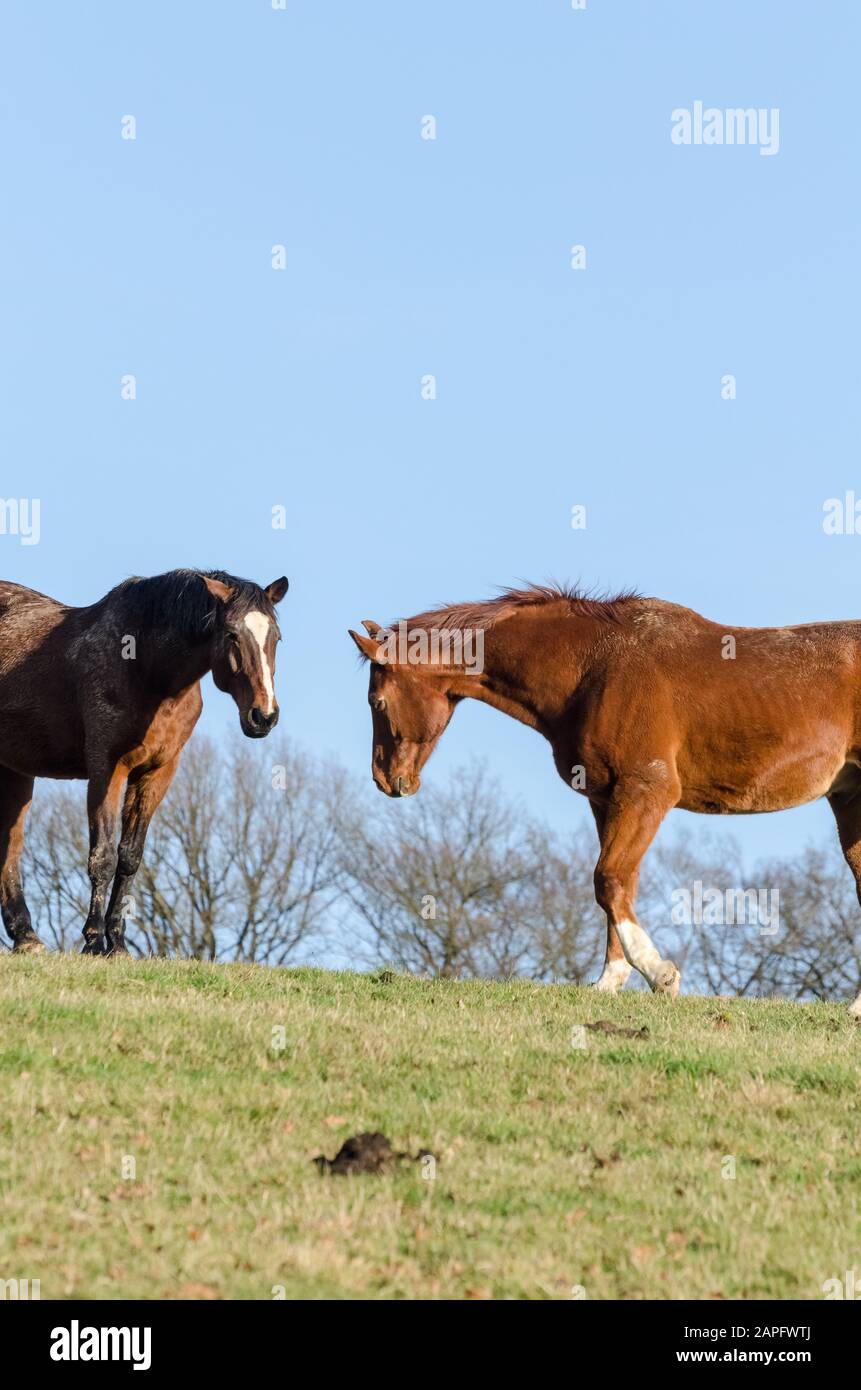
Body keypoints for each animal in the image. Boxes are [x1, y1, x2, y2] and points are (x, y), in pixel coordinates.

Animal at [0, 568, 288, 956]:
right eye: (231, 634)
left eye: (276, 637)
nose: (264, 716)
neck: (144, 668)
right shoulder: (107, 769)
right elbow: (103, 857)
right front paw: (93, 942)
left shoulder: (157, 773)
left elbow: (129, 858)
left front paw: (118, 944)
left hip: (15, 771)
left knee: (10, 846)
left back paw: (26, 938)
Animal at [350, 583, 861, 1018]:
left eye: (377, 702)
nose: (386, 780)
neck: (596, 668)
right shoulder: (606, 799)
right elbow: (619, 884)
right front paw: (610, 980)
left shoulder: (647, 791)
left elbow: (609, 879)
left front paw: (659, 974)